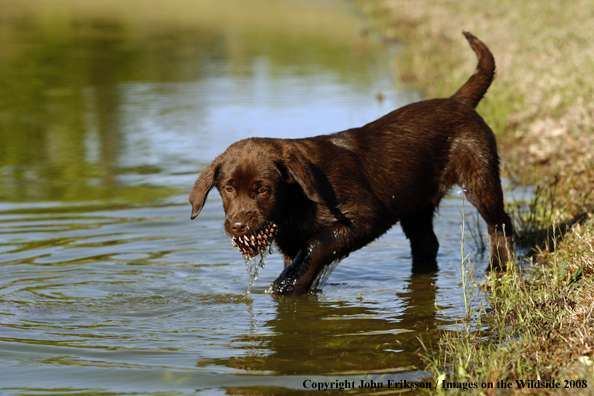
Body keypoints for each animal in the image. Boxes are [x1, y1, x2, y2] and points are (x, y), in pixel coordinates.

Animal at [187, 31, 512, 294]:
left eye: (263, 189)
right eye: (228, 189)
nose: (237, 226)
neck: (294, 203)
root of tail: (458, 101)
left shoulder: (365, 217)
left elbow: (318, 244)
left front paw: (288, 283)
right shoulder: (290, 243)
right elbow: (300, 258)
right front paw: (292, 283)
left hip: (479, 176)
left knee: (500, 223)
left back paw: (499, 268)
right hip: (416, 203)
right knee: (427, 242)